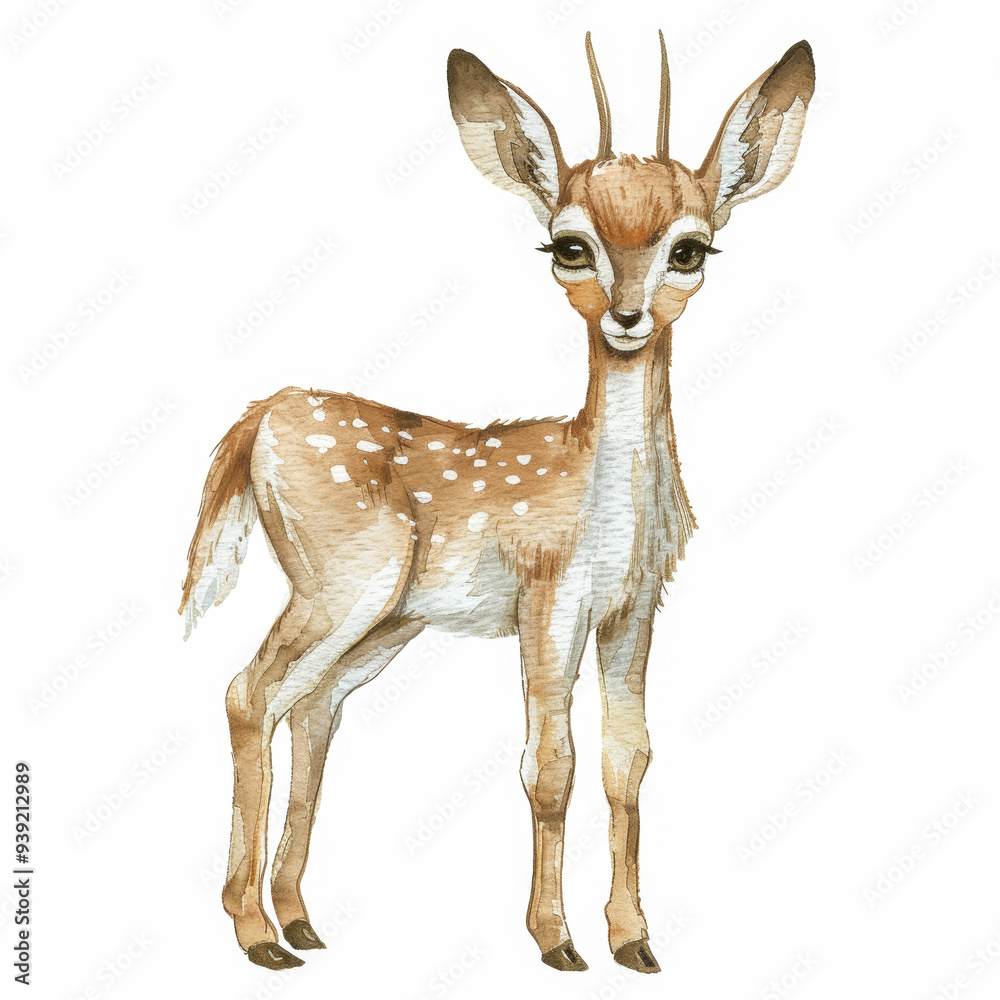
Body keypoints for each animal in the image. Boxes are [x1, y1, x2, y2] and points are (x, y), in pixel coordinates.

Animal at [181, 32, 814, 974]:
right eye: (569, 246)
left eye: (691, 249)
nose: (628, 317)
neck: (607, 507)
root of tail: (260, 416)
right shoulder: (548, 596)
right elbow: (550, 764)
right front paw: (557, 941)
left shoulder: (634, 606)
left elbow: (629, 759)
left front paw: (635, 939)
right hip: (341, 578)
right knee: (248, 692)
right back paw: (256, 932)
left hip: (386, 617)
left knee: (314, 707)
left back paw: (298, 920)